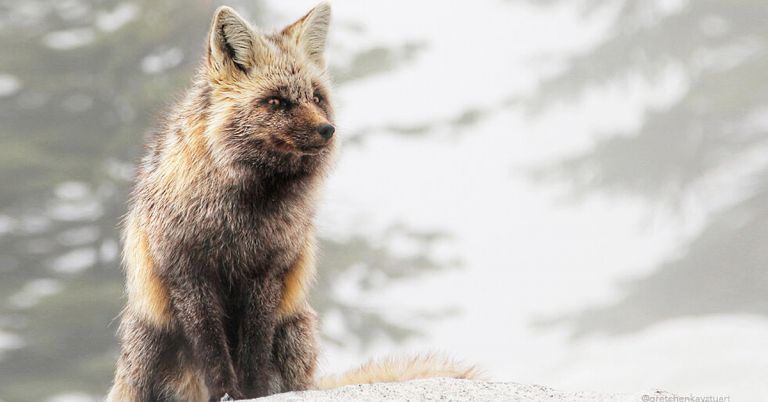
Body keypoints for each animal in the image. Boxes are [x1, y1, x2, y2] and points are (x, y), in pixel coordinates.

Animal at [106, 3, 478, 401]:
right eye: (276, 101)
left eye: (316, 97)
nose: (327, 130)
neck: (243, 214)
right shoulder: (189, 271)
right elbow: (212, 350)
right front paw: (227, 393)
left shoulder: (267, 272)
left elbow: (254, 349)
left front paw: (254, 393)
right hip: (149, 343)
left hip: (293, 331)